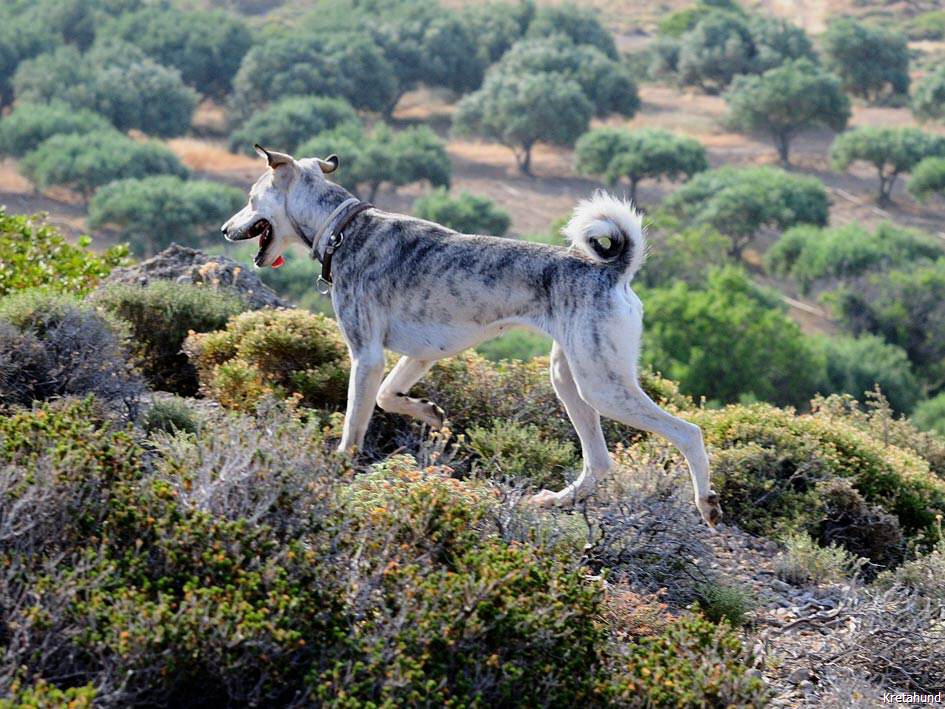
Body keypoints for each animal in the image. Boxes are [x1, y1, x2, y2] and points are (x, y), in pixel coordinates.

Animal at [221, 145, 721, 527]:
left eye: (250, 197)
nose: (225, 229)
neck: (341, 229)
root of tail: (614, 270)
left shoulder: (365, 356)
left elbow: (353, 428)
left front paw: (338, 472)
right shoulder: (417, 356)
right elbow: (389, 397)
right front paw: (430, 413)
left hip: (602, 386)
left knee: (688, 432)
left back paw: (706, 503)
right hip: (569, 380)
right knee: (599, 461)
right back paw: (555, 501)